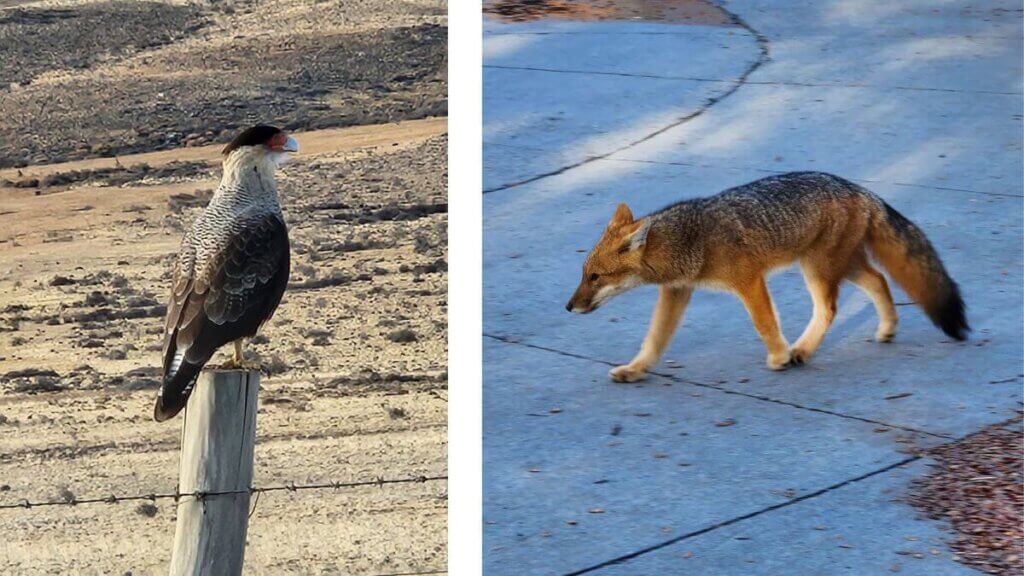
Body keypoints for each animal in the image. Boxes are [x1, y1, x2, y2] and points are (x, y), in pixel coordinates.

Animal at [565, 169, 970, 381]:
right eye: (584, 275)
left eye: (595, 277)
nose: (568, 307)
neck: (692, 239)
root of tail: (858, 187)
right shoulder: (677, 291)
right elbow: (654, 339)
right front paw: (636, 369)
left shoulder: (749, 280)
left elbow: (765, 323)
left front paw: (779, 355)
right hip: (840, 266)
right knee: (880, 281)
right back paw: (885, 329)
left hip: (817, 270)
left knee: (831, 308)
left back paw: (800, 351)